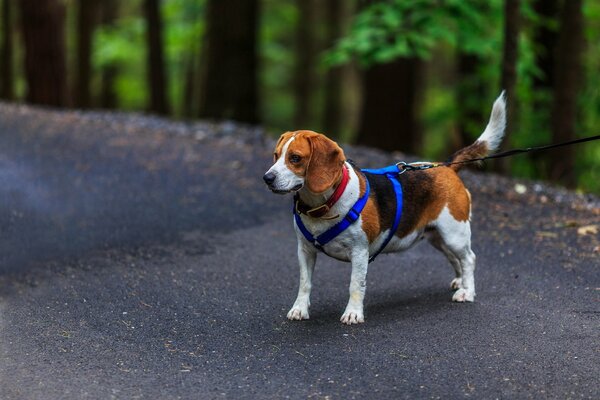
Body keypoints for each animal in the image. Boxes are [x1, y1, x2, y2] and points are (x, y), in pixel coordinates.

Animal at [262, 94, 506, 324]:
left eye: (295, 158)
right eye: (276, 156)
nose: (267, 178)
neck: (323, 205)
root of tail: (446, 167)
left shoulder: (359, 252)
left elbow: (355, 285)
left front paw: (353, 313)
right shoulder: (305, 250)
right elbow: (305, 283)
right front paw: (299, 309)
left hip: (454, 233)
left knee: (469, 259)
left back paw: (467, 291)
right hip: (437, 236)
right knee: (456, 259)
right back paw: (459, 282)